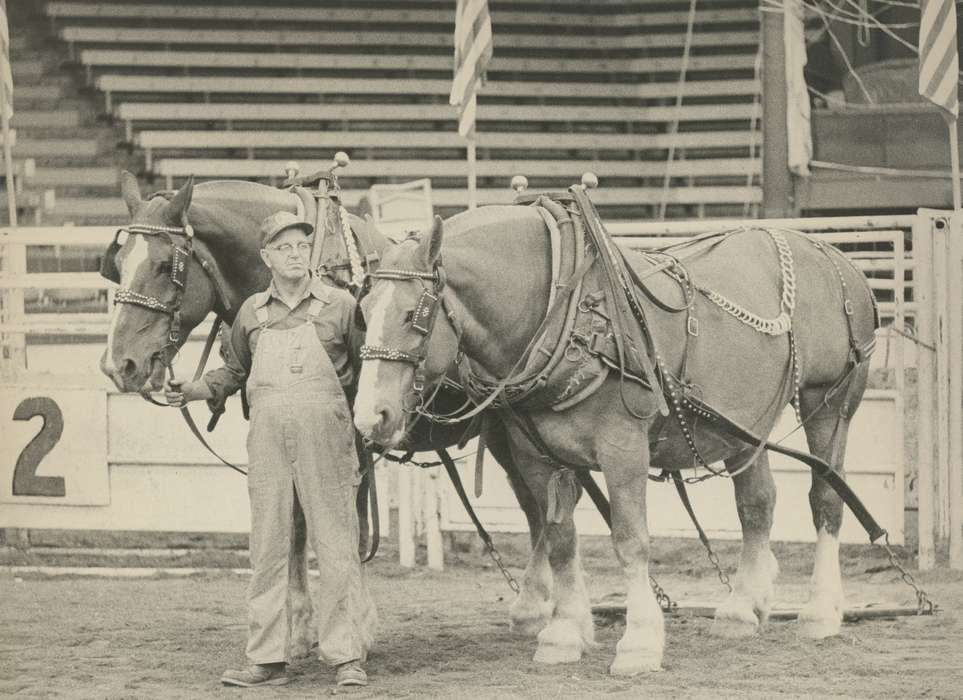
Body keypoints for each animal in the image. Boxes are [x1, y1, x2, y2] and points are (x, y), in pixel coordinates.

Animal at [98, 172, 571, 657]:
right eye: (116, 265)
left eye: (162, 265)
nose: (120, 365)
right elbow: (296, 522)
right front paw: (300, 626)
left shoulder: (353, 437)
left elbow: (348, 521)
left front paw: (356, 622)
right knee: (535, 507)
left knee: (541, 507)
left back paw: (540, 608)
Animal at [352, 194, 880, 675]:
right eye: (364, 310)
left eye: (415, 316)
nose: (370, 417)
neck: (564, 307)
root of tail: (837, 258)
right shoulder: (535, 453)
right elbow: (559, 537)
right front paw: (563, 634)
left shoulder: (623, 447)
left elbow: (630, 539)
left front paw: (640, 642)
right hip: (744, 422)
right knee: (757, 504)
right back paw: (741, 608)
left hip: (830, 403)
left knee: (826, 499)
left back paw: (820, 612)